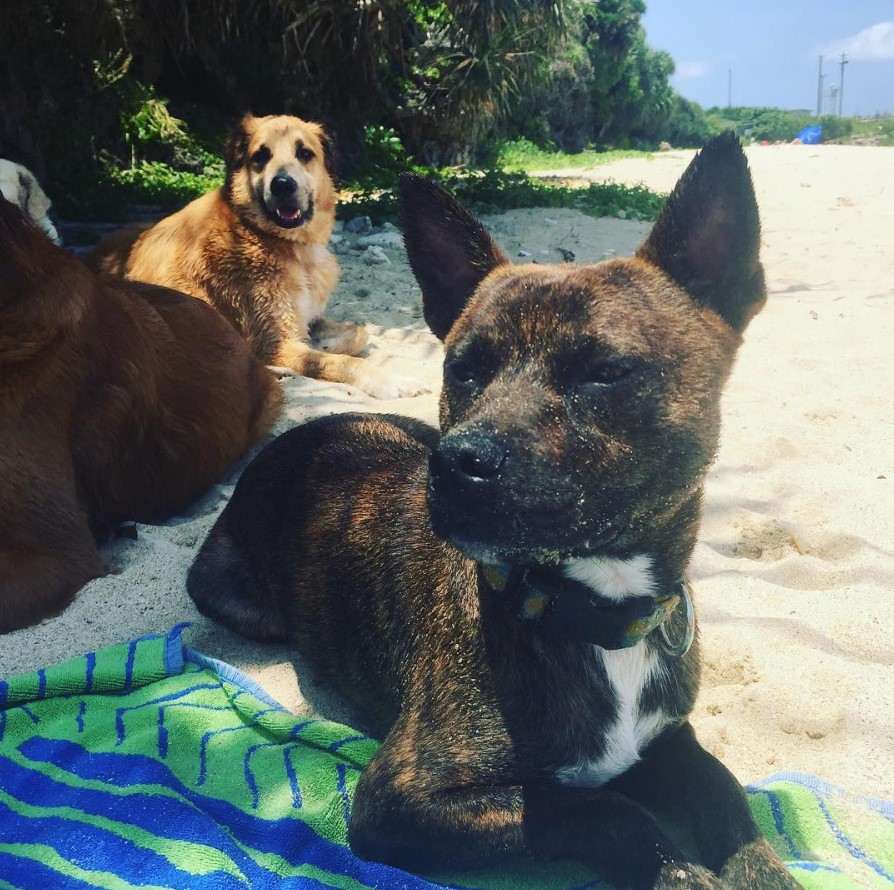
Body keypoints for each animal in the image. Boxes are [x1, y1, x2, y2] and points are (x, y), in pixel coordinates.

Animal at [89, 112, 426, 398]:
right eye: (261, 156)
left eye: (305, 153)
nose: (283, 185)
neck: (278, 241)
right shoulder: (274, 343)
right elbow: (343, 361)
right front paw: (390, 380)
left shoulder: (305, 316)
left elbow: (360, 330)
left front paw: (328, 342)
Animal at [187, 134, 800, 888]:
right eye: (464, 369)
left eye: (604, 372)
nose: (458, 461)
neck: (594, 614)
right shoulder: (400, 800)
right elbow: (598, 808)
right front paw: (676, 868)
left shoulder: (671, 741)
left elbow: (727, 793)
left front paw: (762, 869)